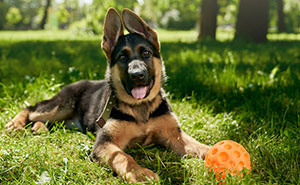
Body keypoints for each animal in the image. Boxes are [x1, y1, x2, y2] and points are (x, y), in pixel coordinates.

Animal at [5, 8, 210, 182]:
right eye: (122, 58)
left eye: (146, 53)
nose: (137, 75)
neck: (141, 108)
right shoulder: (105, 143)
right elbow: (123, 157)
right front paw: (141, 174)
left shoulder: (174, 136)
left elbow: (200, 146)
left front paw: (213, 153)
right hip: (60, 106)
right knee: (32, 108)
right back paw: (16, 124)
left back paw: (39, 128)